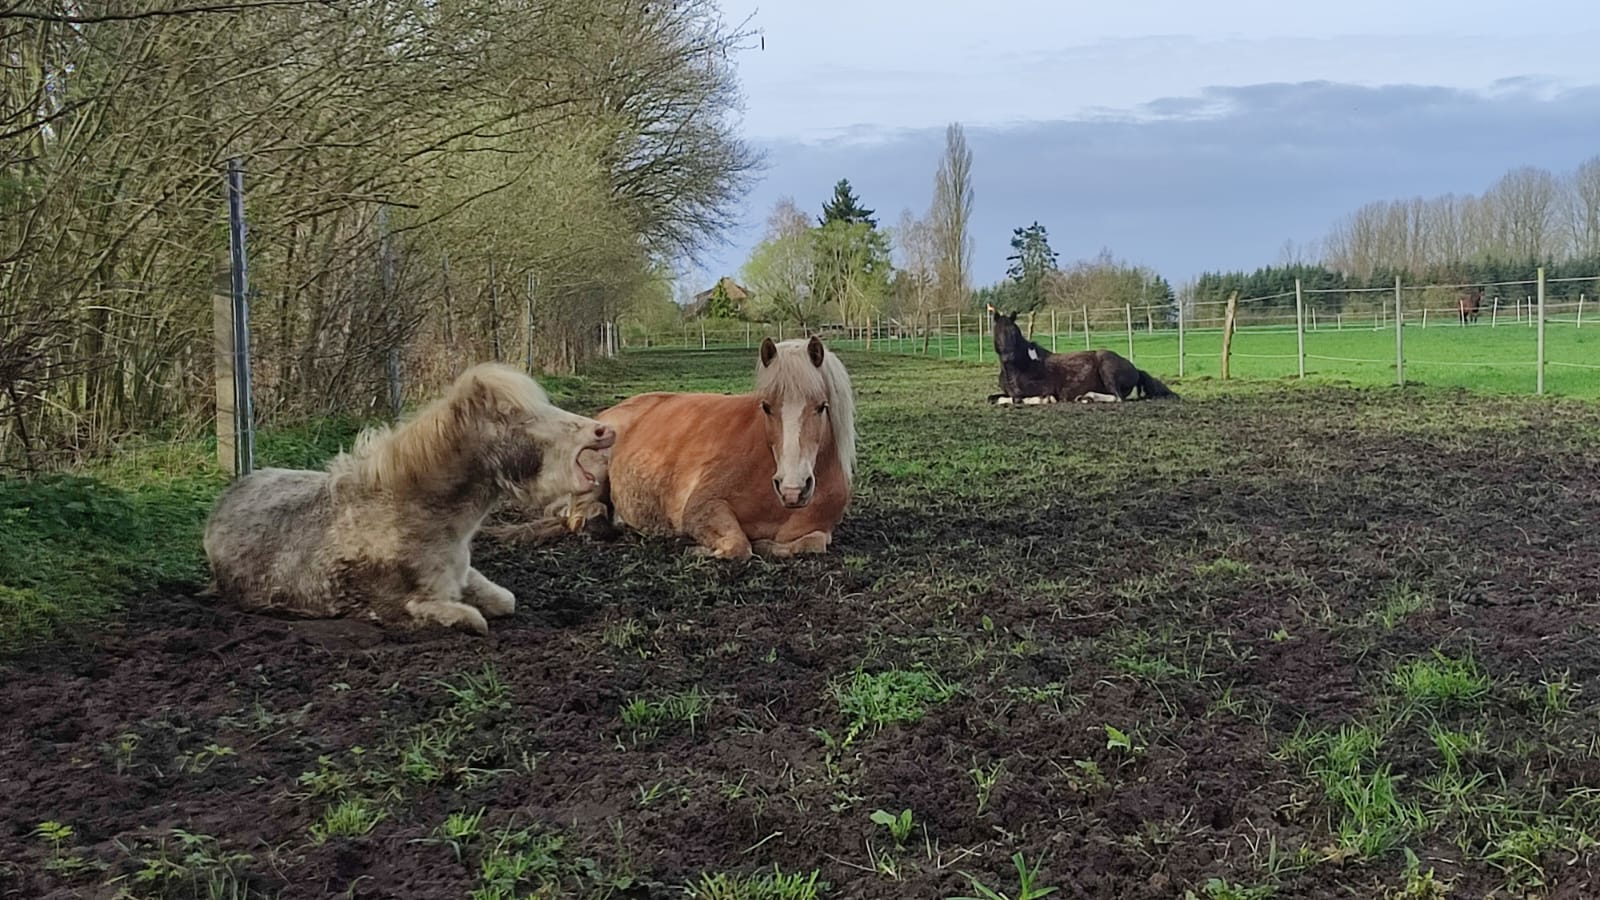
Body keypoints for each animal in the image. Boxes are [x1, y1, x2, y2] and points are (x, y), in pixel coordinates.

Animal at [203, 363, 615, 636]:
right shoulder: (404, 606)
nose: (602, 431)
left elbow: (505, 600)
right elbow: (473, 620)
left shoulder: (464, 576)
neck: (414, 513)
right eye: (516, 416)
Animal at [549, 336, 856, 561]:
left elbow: (814, 543)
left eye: (822, 406)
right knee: (579, 513)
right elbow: (738, 546)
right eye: (767, 406)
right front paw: (697, 548)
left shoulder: (820, 530)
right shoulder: (702, 508)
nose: (792, 489)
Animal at [986, 309, 1178, 404]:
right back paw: (1084, 398)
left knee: (1118, 398)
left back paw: (1087, 398)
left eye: (1014, 332)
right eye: (998, 332)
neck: (1020, 367)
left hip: (1107, 368)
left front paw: (1045, 399)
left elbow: (1018, 399)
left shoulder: (1044, 387)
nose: (1008, 357)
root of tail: (1135, 369)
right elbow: (993, 398)